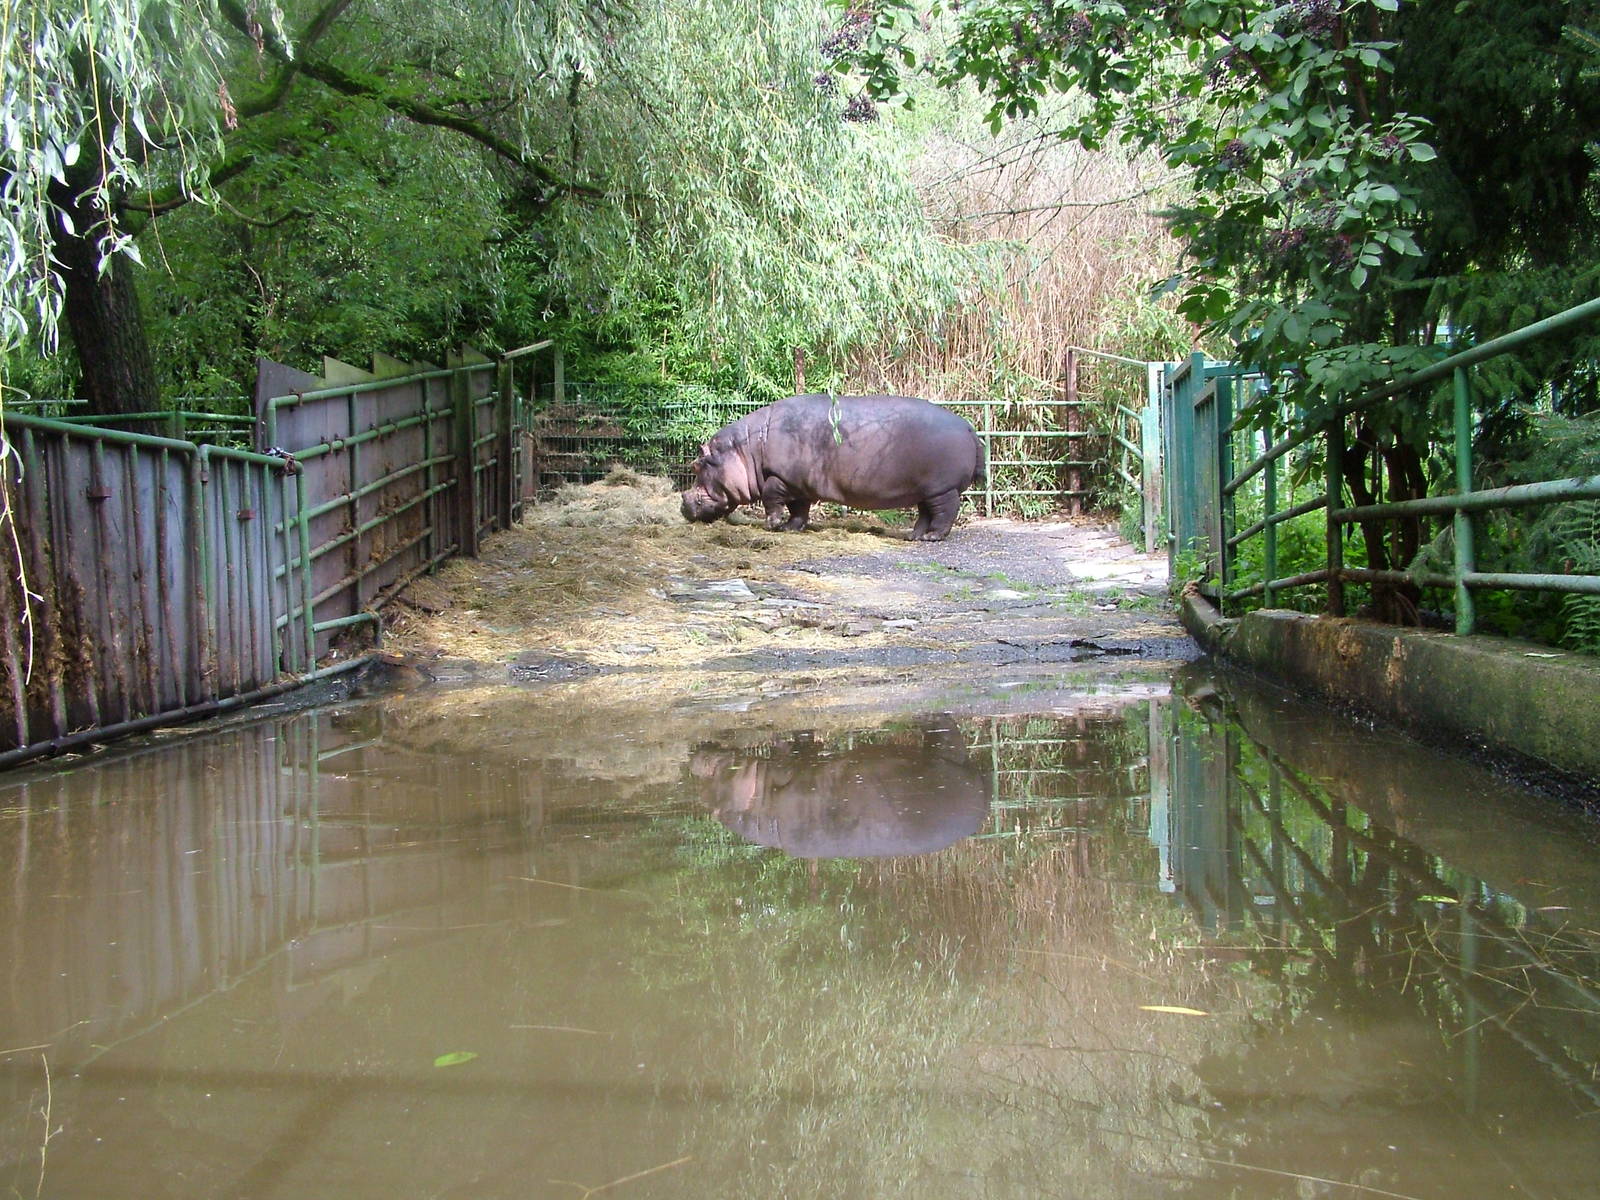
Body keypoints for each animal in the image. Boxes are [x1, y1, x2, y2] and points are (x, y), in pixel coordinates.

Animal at [679, 394, 984, 541]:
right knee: (925, 513)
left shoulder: (779, 478)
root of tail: (968, 427)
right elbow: (798, 509)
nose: (683, 505)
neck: (746, 450)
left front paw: (773, 525)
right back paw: (914, 536)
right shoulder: (797, 484)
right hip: (925, 490)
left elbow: (770, 498)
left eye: (696, 465)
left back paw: (932, 538)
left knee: (945, 513)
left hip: (942, 488)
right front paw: (791, 528)